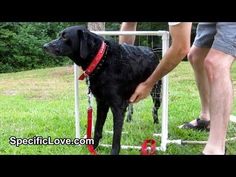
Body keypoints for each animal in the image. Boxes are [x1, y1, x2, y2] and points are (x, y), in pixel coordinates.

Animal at [43, 25, 161, 154]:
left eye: (65, 37)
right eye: (59, 35)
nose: (44, 46)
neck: (101, 61)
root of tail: (151, 50)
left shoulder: (117, 106)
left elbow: (116, 136)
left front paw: (113, 152)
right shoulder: (101, 102)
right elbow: (97, 128)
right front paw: (93, 148)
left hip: (156, 93)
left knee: (154, 109)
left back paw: (156, 125)